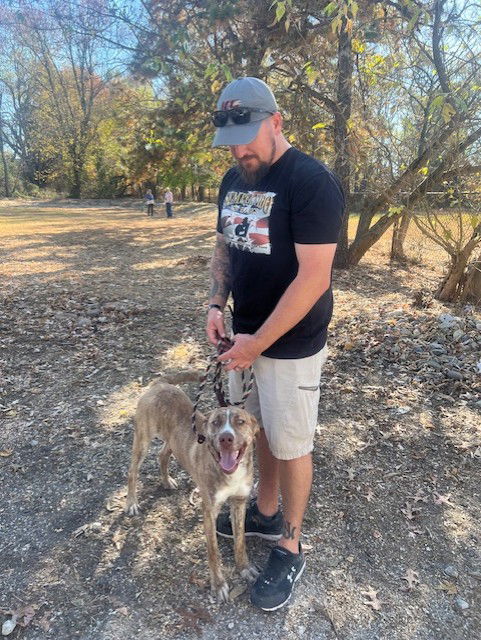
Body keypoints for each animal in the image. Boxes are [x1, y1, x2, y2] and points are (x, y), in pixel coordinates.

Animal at [124, 382, 258, 604]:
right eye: (215, 423)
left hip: (172, 441)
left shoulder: (239, 501)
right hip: (142, 439)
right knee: (132, 471)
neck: (230, 472)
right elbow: (213, 551)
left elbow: (240, 540)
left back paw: (166, 481)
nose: (226, 438)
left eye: (240, 422)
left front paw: (244, 567)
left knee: (162, 454)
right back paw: (132, 502)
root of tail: (160, 384)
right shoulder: (209, 510)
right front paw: (218, 584)